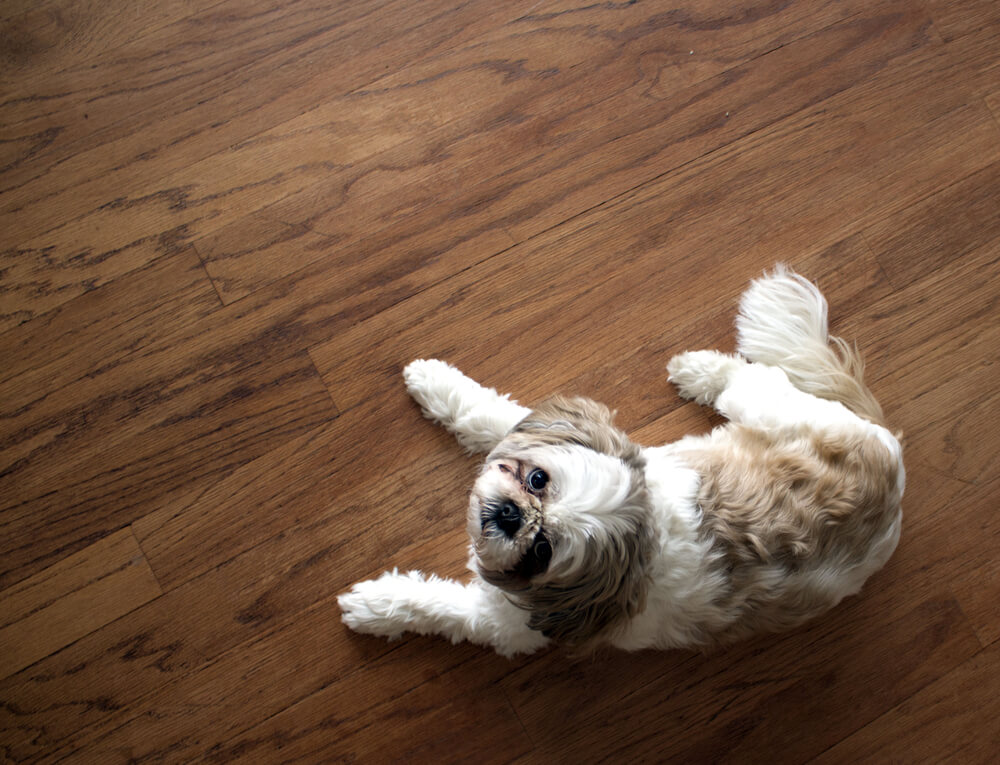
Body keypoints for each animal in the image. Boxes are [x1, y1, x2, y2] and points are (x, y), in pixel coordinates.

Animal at [338, 266, 908, 652]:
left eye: (543, 550)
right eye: (537, 478)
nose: (511, 515)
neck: (636, 547)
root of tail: (890, 450)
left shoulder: (509, 622)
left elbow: (441, 608)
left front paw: (372, 606)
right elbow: (490, 415)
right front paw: (432, 381)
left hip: (768, 405)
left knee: (752, 376)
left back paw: (701, 370)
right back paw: (697, 370)